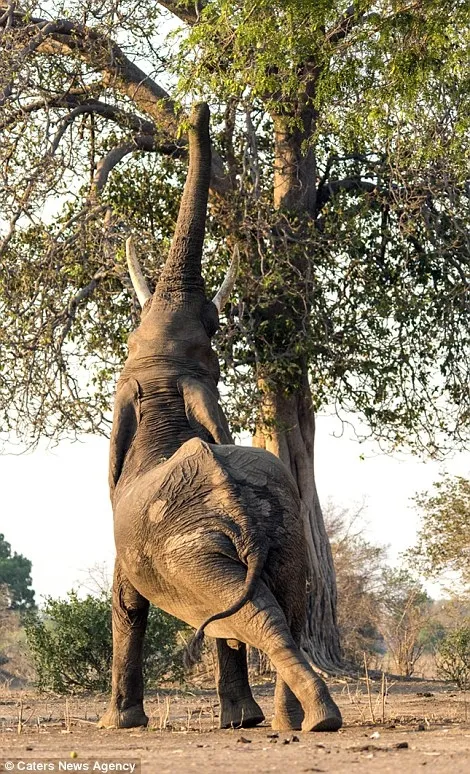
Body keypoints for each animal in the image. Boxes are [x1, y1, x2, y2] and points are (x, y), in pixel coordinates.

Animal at [99, 103, 342, 732]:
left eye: (212, 325)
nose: (197, 108)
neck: (168, 394)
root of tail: (239, 513)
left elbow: (126, 604)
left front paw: (119, 724)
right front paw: (240, 721)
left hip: (193, 550)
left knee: (252, 614)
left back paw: (309, 721)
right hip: (278, 535)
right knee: (279, 610)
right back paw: (298, 722)